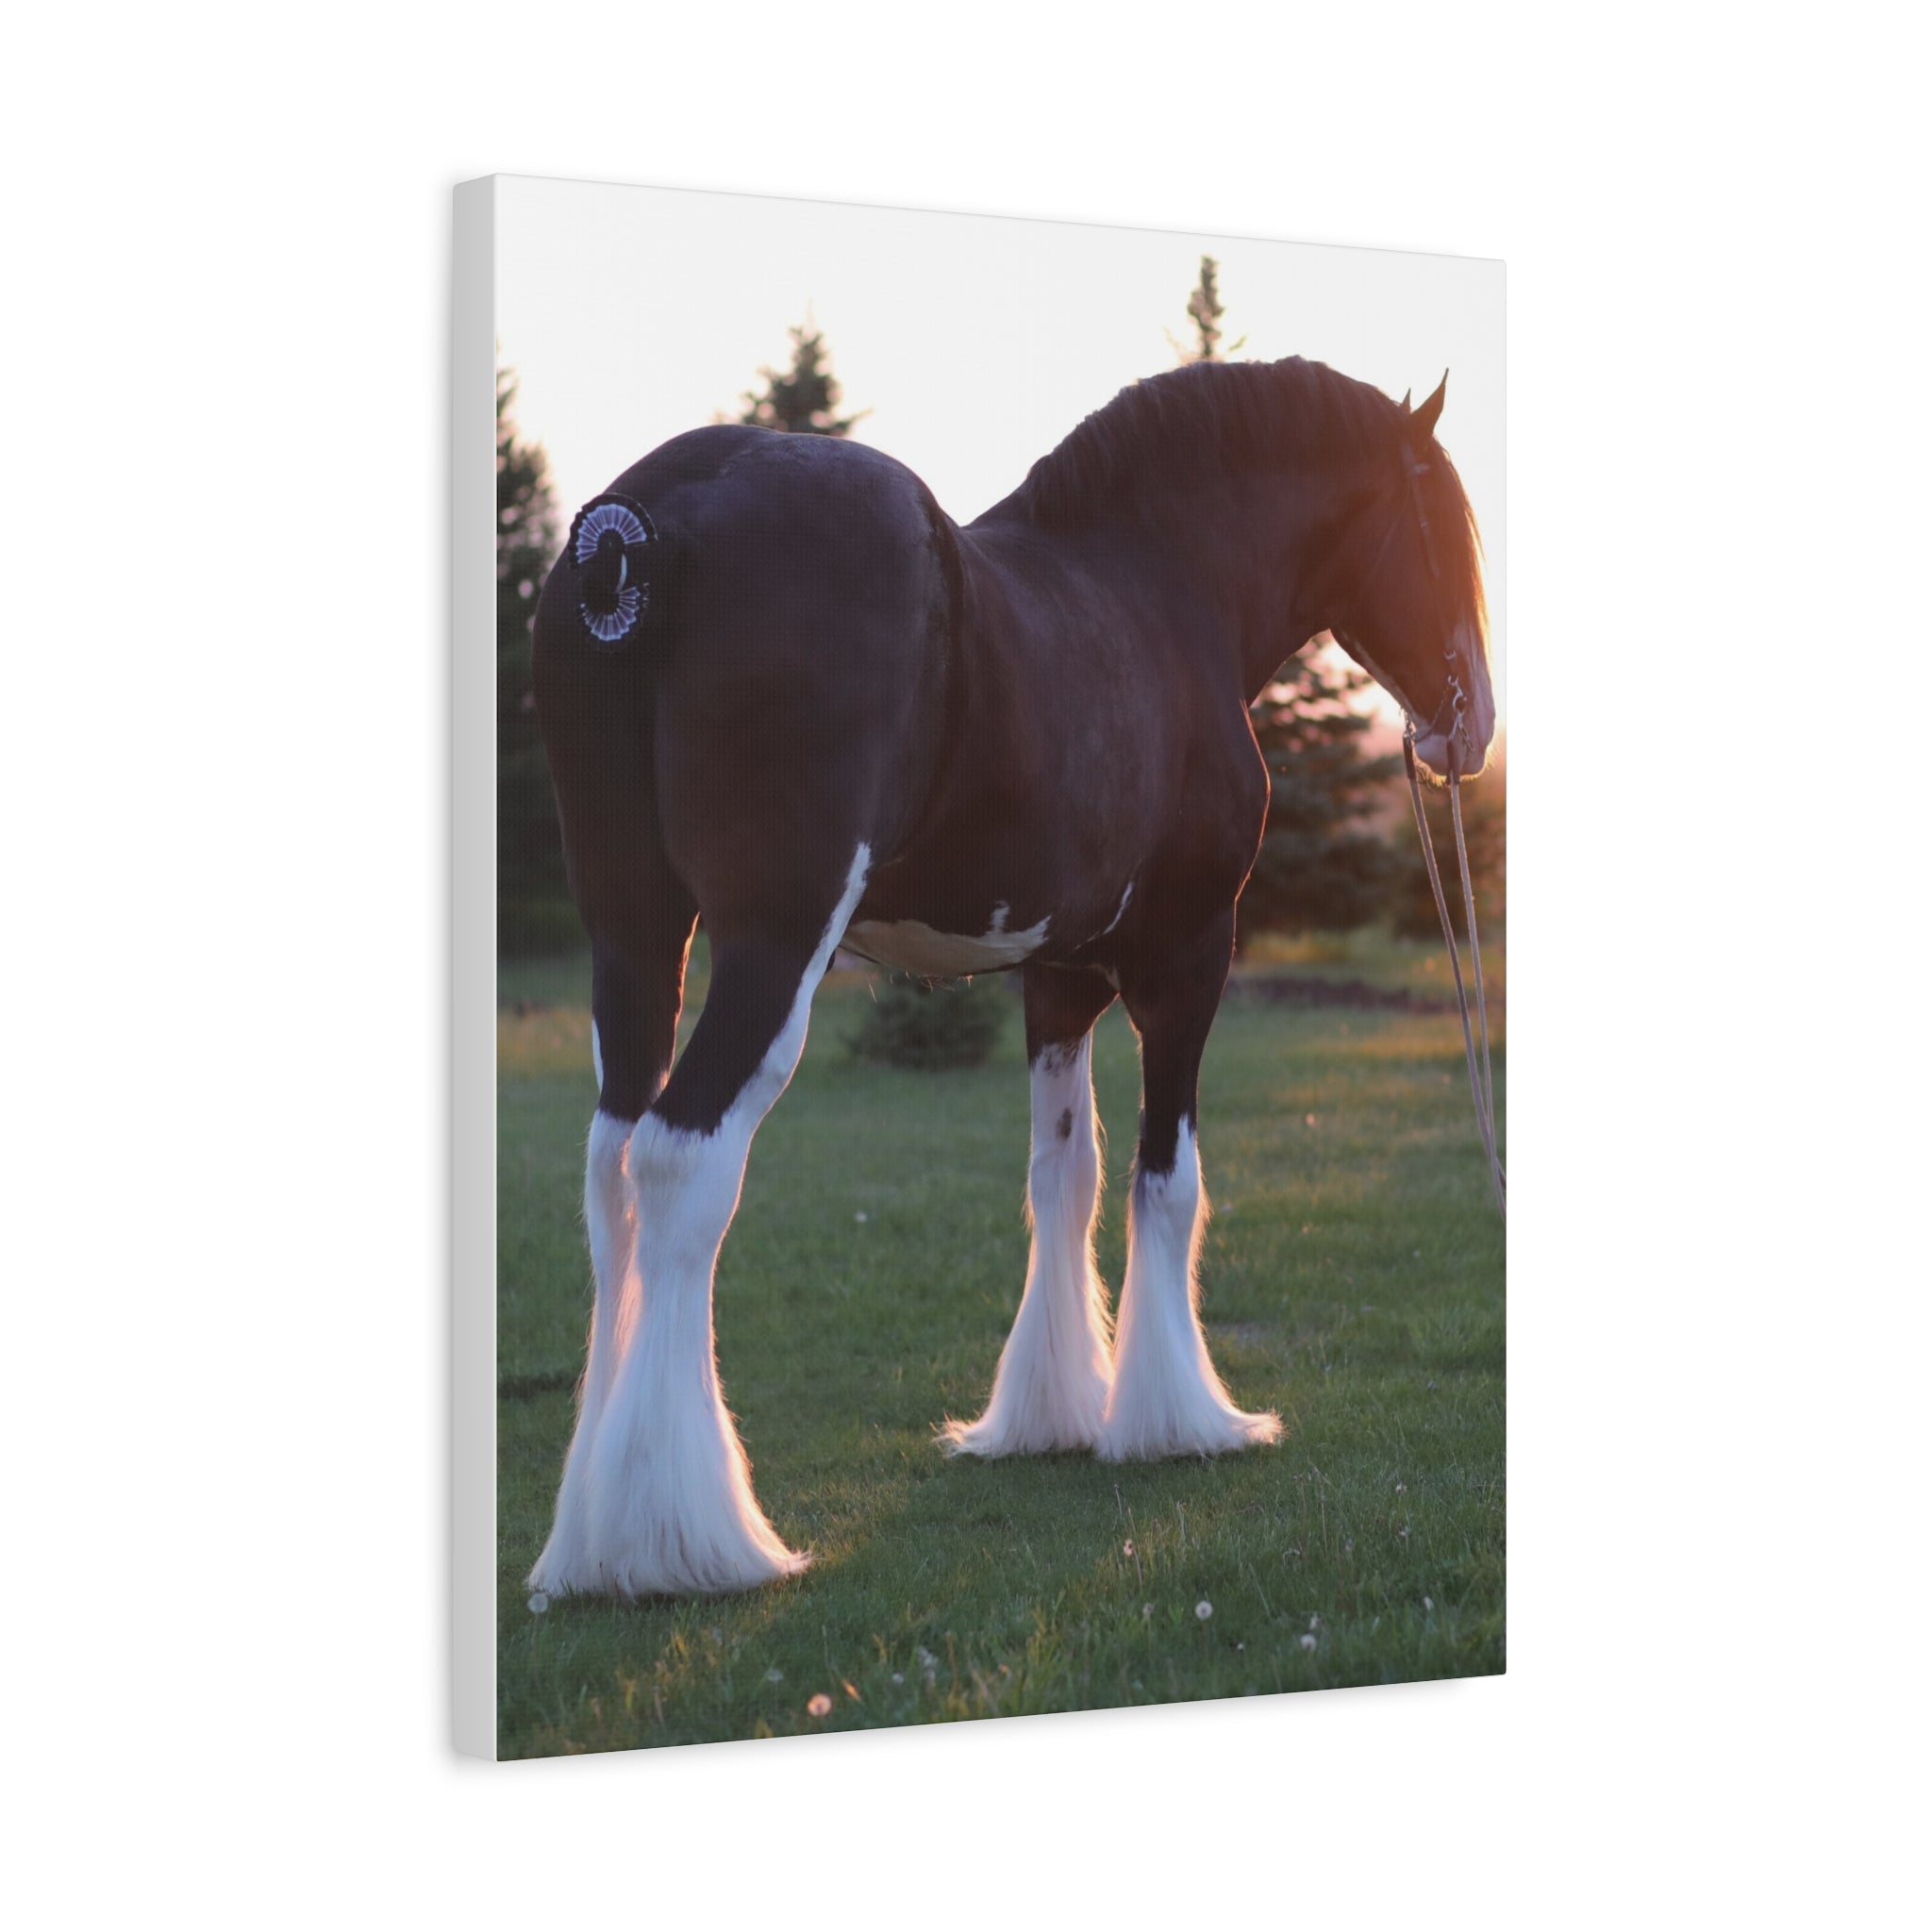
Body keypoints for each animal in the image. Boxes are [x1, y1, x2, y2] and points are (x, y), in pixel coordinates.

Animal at [523, 355, 1496, 1599]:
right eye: (1442, 523)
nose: (1469, 726)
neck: (1155, 587)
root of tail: (635, 528)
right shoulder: (1189, 955)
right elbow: (1166, 1180)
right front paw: (1176, 1419)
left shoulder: (1057, 976)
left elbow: (1062, 1177)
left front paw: (1049, 1412)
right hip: (770, 940)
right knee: (682, 1160)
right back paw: (683, 1540)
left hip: (637, 932)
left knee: (609, 1169)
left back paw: (586, 1541)